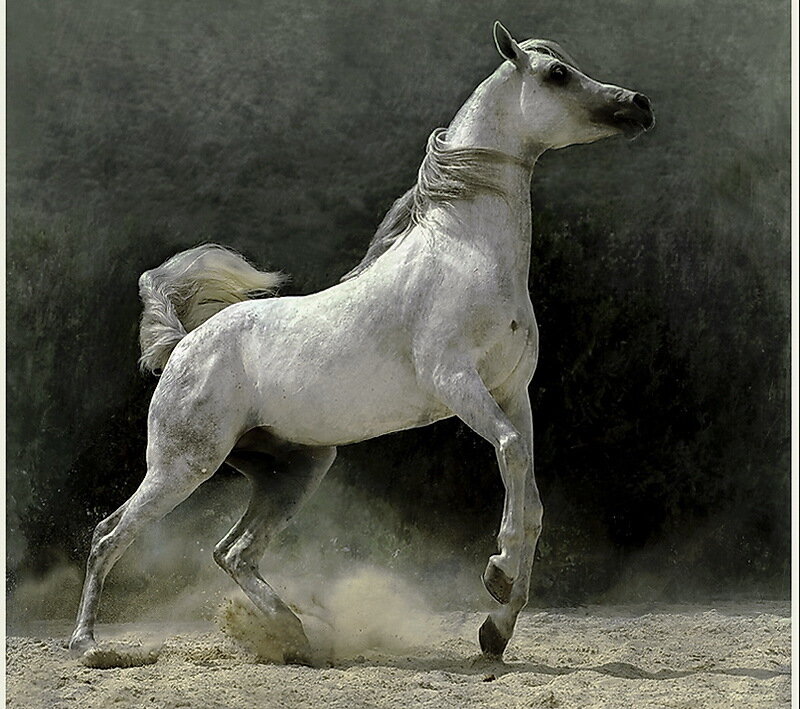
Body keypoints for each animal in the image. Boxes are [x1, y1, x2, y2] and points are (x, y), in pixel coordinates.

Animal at [69, 21, 654, 665]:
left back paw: (296, 637)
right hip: (182, 465)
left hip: (293, 471)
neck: (465, 252)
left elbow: (530, 494)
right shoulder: (458, 383)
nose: (638, 104)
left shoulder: (511, 392)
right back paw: (88, 646)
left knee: (233, 552)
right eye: (556, 75)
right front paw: (497, 576)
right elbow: (508, 454)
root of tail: (182, 346)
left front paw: (496, 629)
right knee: (110, 536)